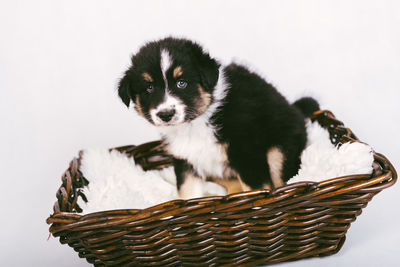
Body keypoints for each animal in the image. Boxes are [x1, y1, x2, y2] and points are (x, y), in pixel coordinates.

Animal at [118, 38, 318, 201]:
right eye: (149, 88)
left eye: (181, 83)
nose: (165, 114)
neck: (196, 123)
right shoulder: (185, 159)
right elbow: (187, 194)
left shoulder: (247, 153)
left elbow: (256, 189)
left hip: (279, 150)